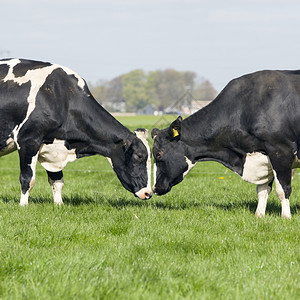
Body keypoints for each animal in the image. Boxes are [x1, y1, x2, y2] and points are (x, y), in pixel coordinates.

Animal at [0, 57, 151, 205]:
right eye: (139, 156)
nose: (148, 193)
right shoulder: (28, 141)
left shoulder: (53, 148)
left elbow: (57, 181)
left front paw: (59, 205)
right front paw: (23, 206)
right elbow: (28, 179)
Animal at [150, 69, 300, 218]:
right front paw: (259, 215)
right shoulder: (263, 157)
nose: (154, 188)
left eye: (158, 154)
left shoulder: (280, 151)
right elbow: (262, 190)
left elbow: (283, 189)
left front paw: (286, 217)